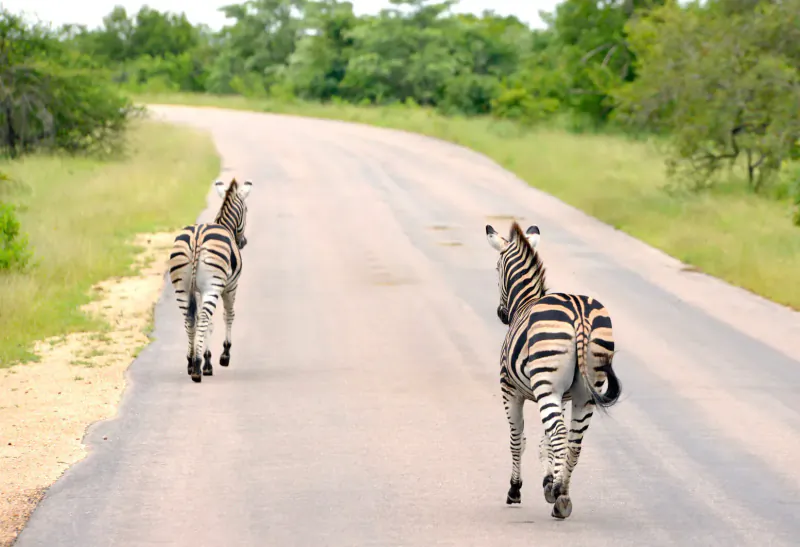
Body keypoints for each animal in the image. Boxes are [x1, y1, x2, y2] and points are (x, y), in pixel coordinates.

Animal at [168, 178, 253, 383]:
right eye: (246, 210)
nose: (243, 242)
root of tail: (197, 237)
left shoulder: (198, 291)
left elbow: (206, 324)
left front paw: (205, 359)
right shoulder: (231, 287)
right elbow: (228, 316)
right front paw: (223, 355)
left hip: (182, 288)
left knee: (190, 319)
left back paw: (191, 362)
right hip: (212, 288)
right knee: (205, 317)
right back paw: (198, 367)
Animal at [485, 221, 621, 519]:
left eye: (497, 269)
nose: (501, 314)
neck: (525, 302)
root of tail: (580, 314)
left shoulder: (510, 390)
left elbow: (518, 439)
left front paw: (516, 489)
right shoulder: (564, 395)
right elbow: (545, 441)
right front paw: (549, 479)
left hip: (548, 387)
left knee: (559, 433)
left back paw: (557, 495)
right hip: (586, 393)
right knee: (573, 441)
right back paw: (563, 495)